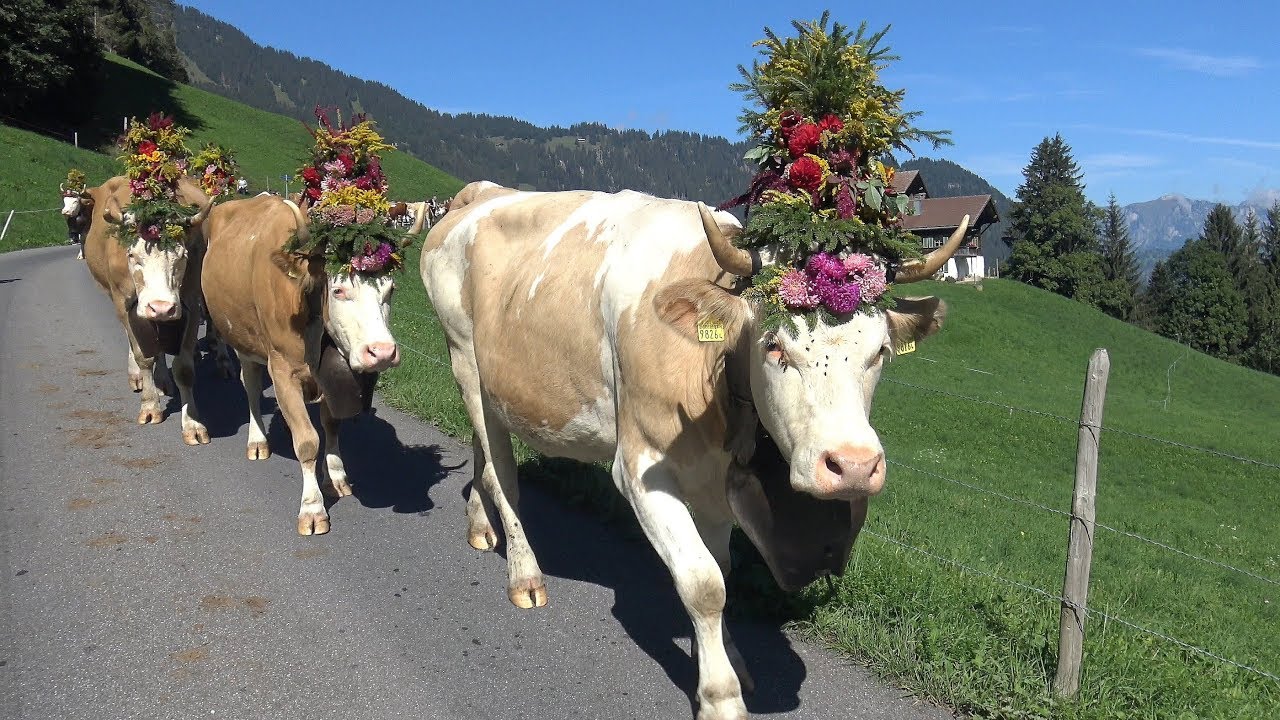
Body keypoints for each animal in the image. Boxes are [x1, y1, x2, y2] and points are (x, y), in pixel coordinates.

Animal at [82, 174, 213, 443]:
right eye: (132, 255)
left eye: (182, 257)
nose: (161, 307)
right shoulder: (125, 304)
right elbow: (143, 355)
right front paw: (150, 406)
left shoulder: (190, 304)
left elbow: (184, 368)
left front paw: (192, 424)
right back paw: (139, 377)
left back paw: (162, 380)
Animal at [202, 194, 427, 532]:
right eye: (339, 290)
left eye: (390, 290)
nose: (383, 352)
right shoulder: (282, 369)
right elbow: (307, 441)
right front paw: (312, 508)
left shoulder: (329, 376)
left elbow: (331, 425)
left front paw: (335, 476)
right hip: (243, 341)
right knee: (251, 387)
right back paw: (257, 440)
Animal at [422, 180, 967, 717]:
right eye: (774, 346)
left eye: (881, 351)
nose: (852, 466)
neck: (715, 372)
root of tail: (480, 193)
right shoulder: (640, 469)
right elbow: (704, 584)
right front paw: (720, 696)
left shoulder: (714, 481)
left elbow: (722, 570)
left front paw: (732, 661)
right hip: (464, 357)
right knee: (503, 474)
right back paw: (525, 575)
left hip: (489, 385)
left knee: (485, 454)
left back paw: (479, 526)